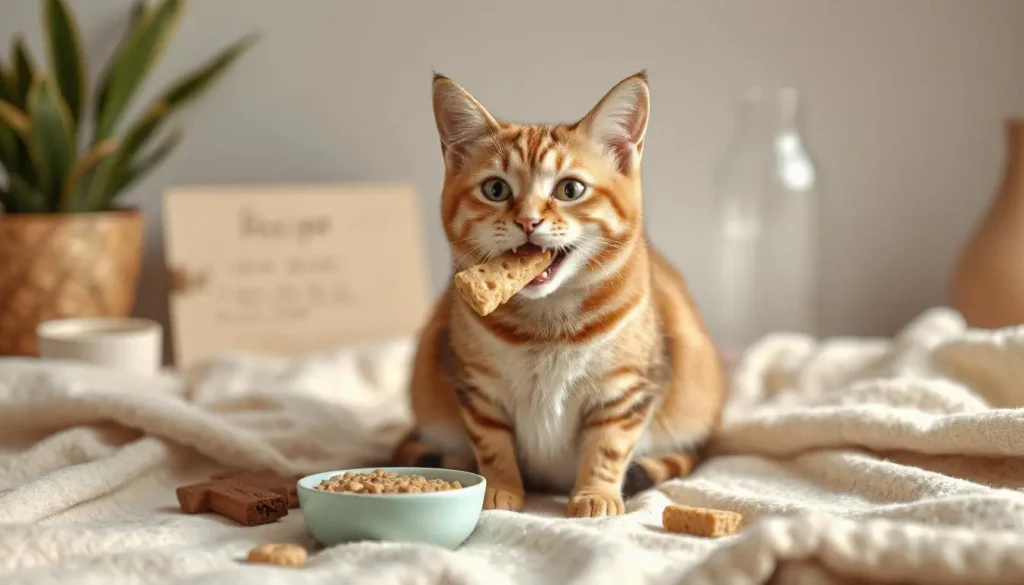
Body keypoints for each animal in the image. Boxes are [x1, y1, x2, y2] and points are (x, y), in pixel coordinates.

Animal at [391, 72, 729, 516]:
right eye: (496, 189)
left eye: (570, 190)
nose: (528, 221)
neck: (546, 325)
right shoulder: (478, 386)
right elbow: (492, 443)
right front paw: (499, 489)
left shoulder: (626, 389)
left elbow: (608, 448)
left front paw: (595, 495)